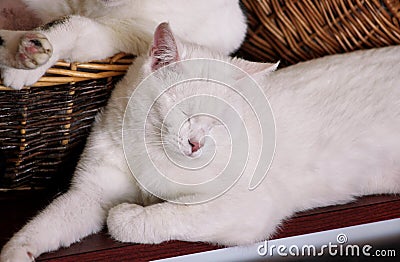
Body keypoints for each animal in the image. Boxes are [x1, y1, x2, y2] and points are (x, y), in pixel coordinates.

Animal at [0, 23, 400, 262]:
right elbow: (48, 223)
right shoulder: (90, 195)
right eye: (187, 112)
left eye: (216, 123)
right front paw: (17, 251)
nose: (196, 144)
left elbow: (163, 214)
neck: (150, 151)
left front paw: (128, 214)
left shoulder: (246, 207)